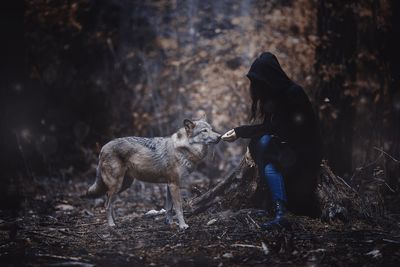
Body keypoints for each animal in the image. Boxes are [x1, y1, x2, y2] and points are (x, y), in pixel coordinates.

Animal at [85, 118, 220, 231]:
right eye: (204, 130)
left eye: (212, 129)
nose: (219, 136)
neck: (183, 148)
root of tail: (103, 147)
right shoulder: (174, 184)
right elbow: (179, 208)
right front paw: (183, 226)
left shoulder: (169, 185)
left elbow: (169, 208)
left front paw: (170, 223)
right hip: (117, 185)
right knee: (107, 204)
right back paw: (111, 224)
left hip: (124, 185)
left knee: (109, 201)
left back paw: (115, 222)